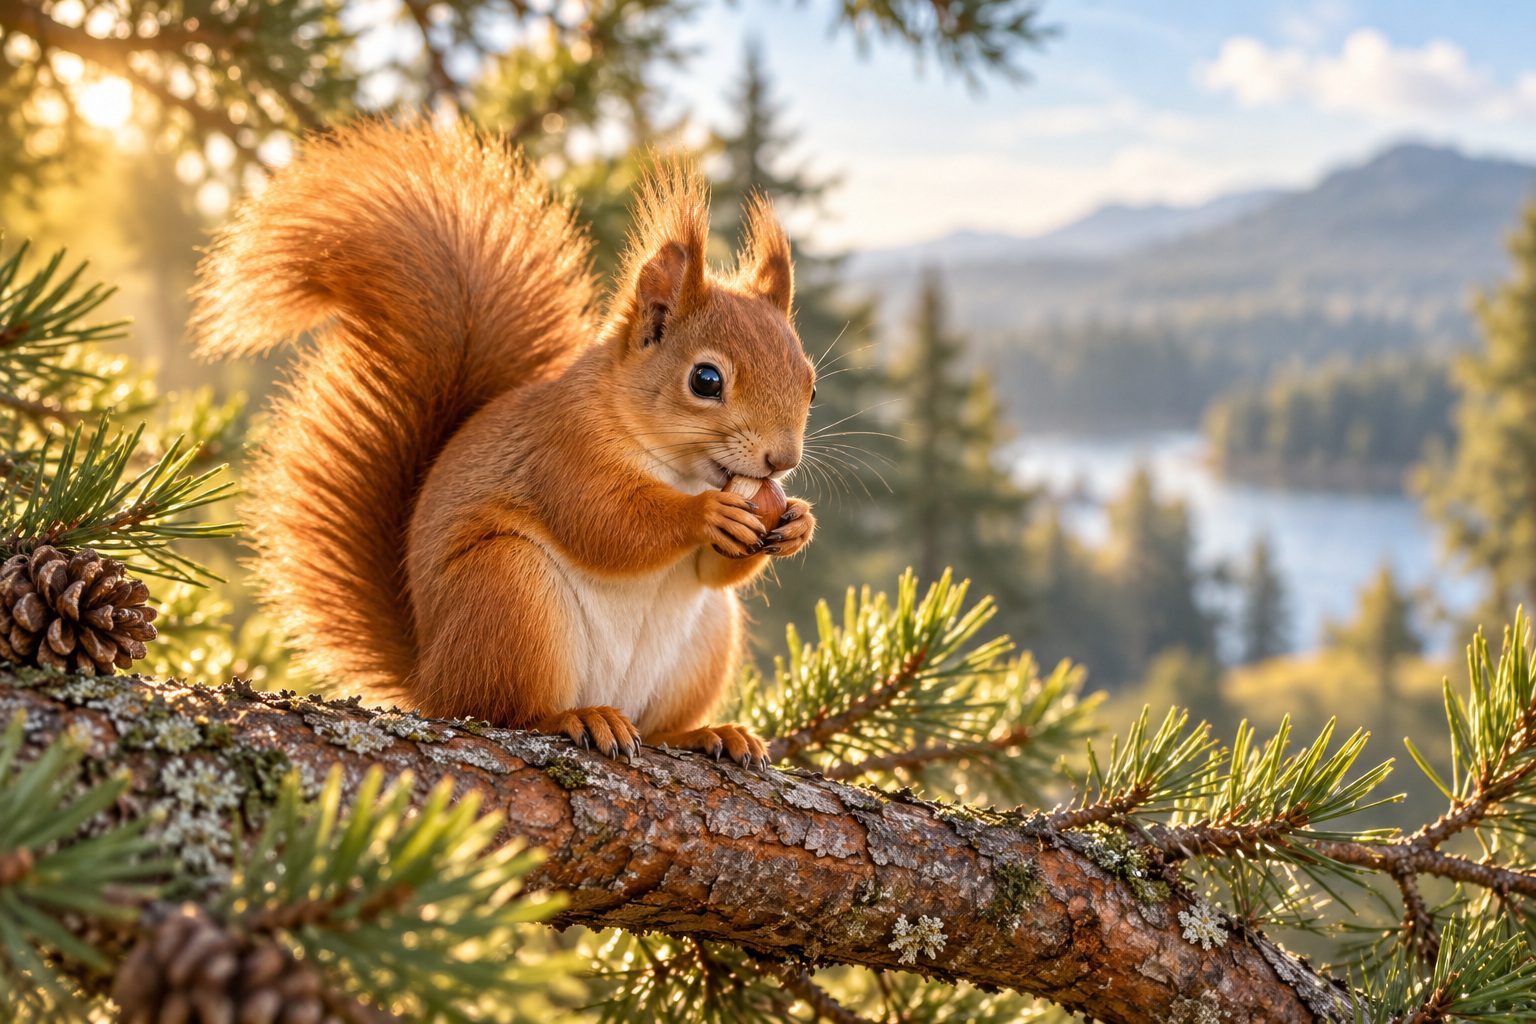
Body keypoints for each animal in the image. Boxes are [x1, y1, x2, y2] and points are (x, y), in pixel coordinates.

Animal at [192, 120, 817, 766]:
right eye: (706, 380)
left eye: (811, 384)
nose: (782, 460)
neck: (676, 467)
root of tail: (429, 678)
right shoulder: (562, 451)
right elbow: (608, 524)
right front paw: (706, 515)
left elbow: (713, 571)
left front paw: (797, 522)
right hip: (508, 594)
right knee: (505, 710)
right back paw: (578, 717)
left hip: (704, 641)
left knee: (658, 721)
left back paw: (706, 733)